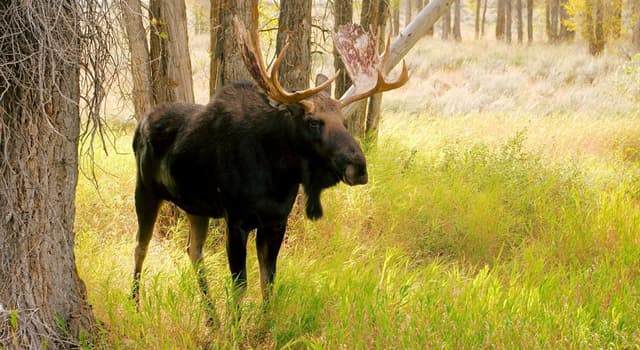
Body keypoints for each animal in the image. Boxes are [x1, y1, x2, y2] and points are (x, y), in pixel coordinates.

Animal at [132, 17, 408, 316]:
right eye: (313, 121)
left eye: (344, 122)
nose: (358, 167)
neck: (278, 176)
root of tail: (140, 123)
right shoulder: (236, 220)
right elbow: (240, 285)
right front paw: (236, 326)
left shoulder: (276, 221)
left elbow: (269, 282)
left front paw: (264, 321)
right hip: (145, 190)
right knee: (140, 247)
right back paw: (135, 303)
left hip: (196, 207)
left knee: (193, 251)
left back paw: (211, 316)